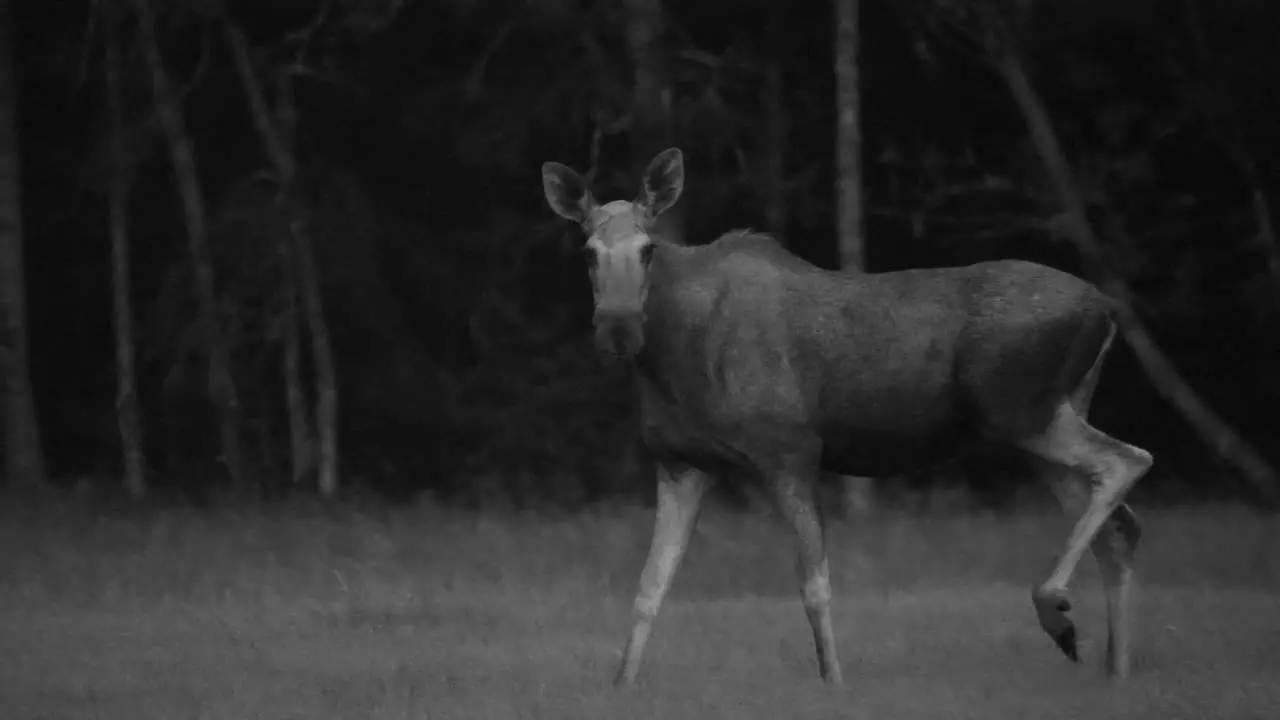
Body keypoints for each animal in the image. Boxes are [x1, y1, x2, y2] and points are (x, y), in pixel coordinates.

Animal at [537, 147, 1152, 681]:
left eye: (647, 248)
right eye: (588, 251)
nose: (618, 327)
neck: (670, 357)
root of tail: (1107, 309)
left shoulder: (789, 452)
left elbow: (814, 587)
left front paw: (834, 681)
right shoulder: (680, 464)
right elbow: (649, 587)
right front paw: (622, 685)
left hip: (1022, 414)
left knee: (1129, 460)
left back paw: (1058, 613)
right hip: (1045, 424)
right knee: (1117, 525)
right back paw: (1114, 668)